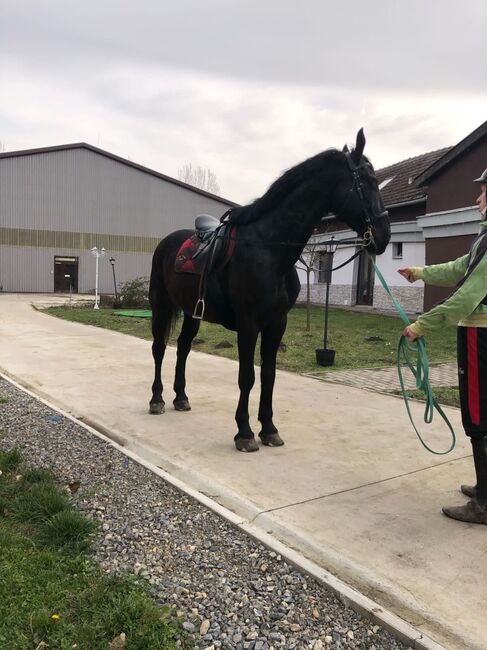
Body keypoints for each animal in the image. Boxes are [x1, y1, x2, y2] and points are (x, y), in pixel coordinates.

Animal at [149, 129, 392, 448]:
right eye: (368, 180)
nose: (384, 235)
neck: (269, 248)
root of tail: (167, 242)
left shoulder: (277, 324)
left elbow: (269, 375)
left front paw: (269, 428)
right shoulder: (249, 324)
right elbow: (247, 377)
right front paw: (244, 432)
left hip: (192, 312)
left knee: (183, 348)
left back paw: (180, 397)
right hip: (161, 304)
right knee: (159, 348)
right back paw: (157, 399)